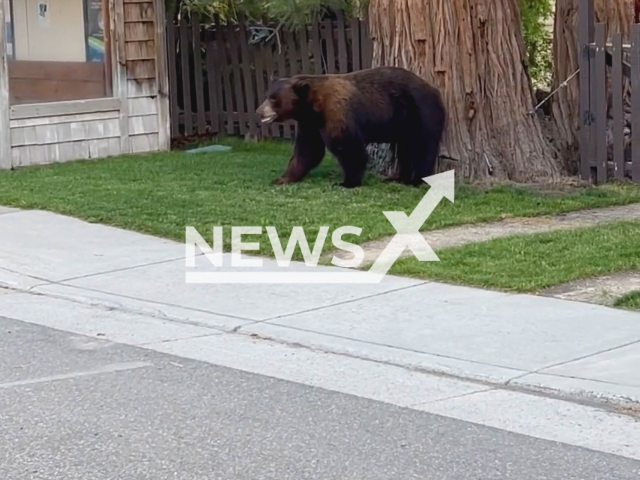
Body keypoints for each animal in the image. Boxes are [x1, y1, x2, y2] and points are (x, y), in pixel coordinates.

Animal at [255, 65, 444, 188]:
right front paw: (283, 178)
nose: (259, 112)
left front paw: (347, 182)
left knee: (421, 144)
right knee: (404, 148)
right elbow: (307, 150)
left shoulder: (336, 112)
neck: (314, 106)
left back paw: (416, 179)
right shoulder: (310, 123)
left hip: (417, 111)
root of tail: (434, 89)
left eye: (273, 99)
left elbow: (348, 147)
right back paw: (399, 177)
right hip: (401, 122)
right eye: (267, 95)